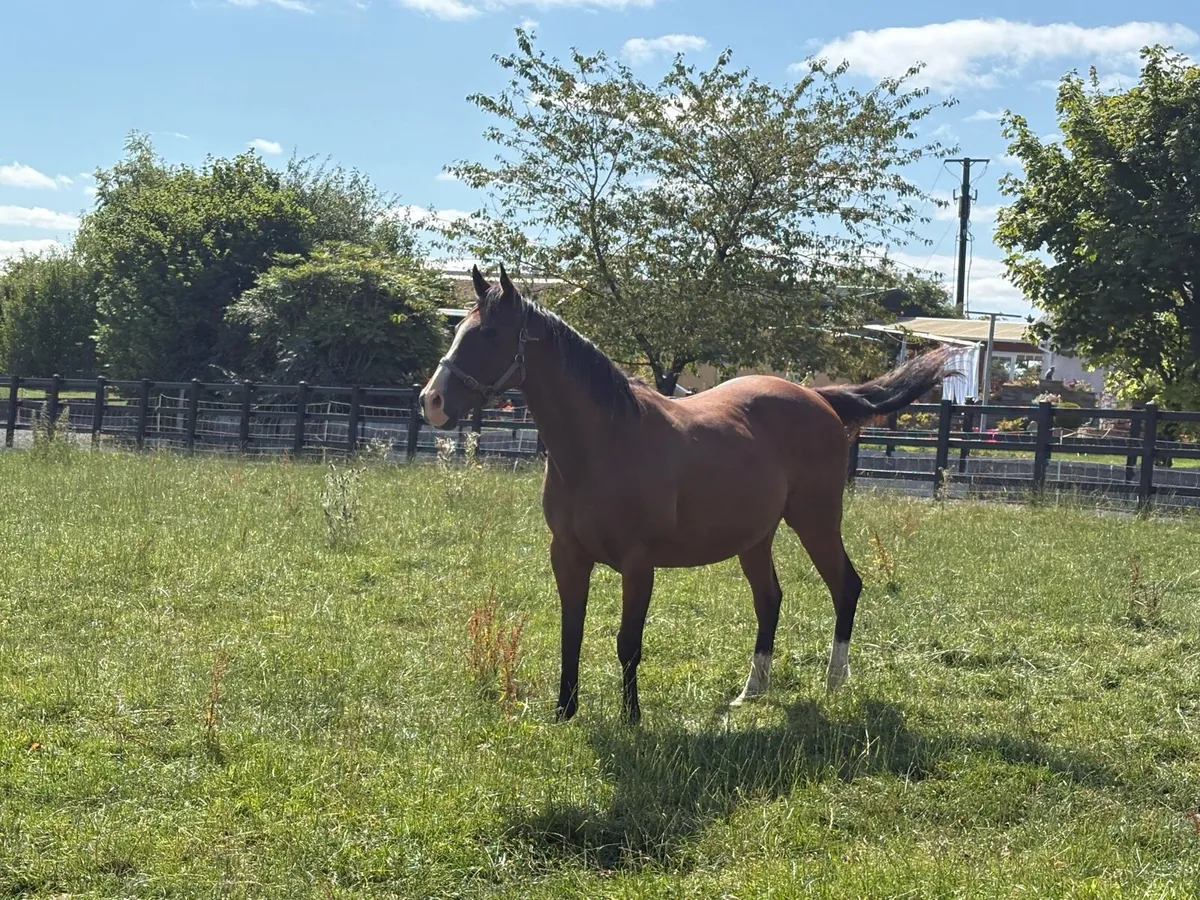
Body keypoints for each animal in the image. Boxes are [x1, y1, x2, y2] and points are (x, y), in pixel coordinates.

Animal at [420, 265, 950, 724]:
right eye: (458, 329)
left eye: (489, 334)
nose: (431, 401)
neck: (604, 442)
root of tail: (819, 398)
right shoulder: (567, 555)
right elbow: (572, 631)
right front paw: (564, 712)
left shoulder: (638, 563)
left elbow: (627, 642)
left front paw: (631, 717)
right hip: (755, 538)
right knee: (769, 599)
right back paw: (750, 691)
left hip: (816, 521)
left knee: (845, 586)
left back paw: (834, 681)